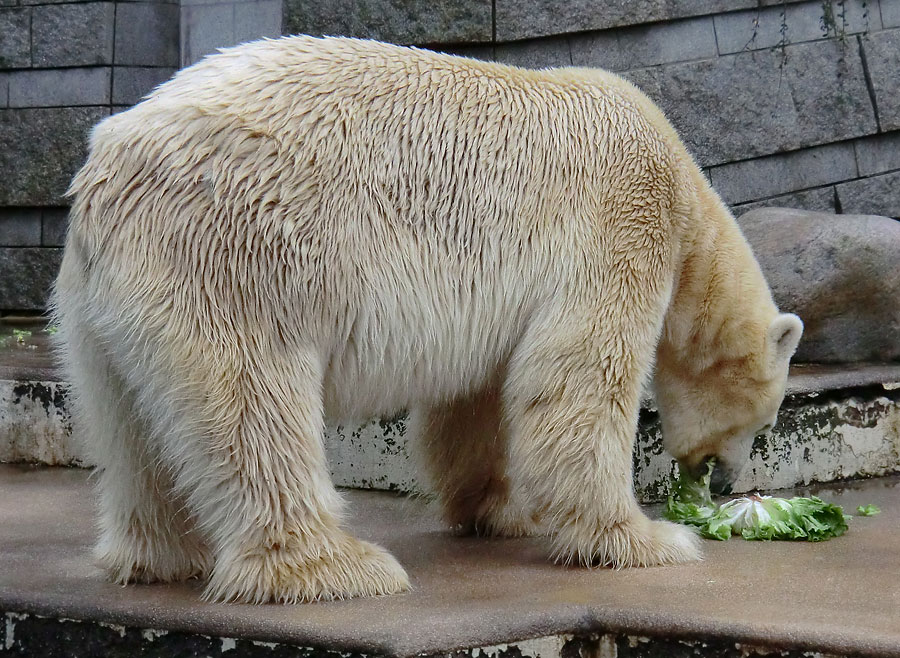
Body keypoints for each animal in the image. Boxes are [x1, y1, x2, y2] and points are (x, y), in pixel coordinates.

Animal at [54, 34, 800, 600]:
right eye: (761, 423)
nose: (726, 482)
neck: (687, 203)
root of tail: (110, 167)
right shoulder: (617, 224)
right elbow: (579, 381)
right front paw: (647, 538)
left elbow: (476, 400)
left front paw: (503, 511)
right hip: (239, 255)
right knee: (253, 404)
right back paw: (336, 567)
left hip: (100, 307)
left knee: (129, 422)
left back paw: (160, 557)